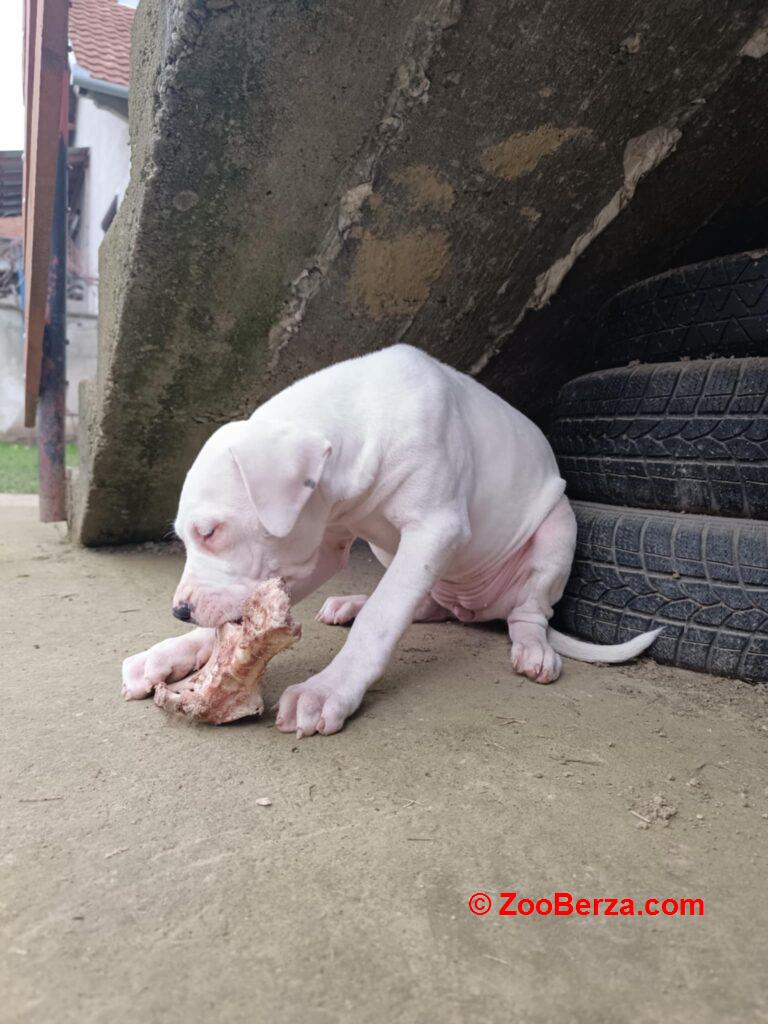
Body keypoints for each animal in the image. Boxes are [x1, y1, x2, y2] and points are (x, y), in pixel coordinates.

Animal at [123, 344, 659, 737]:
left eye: (210, 531)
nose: (180, 610)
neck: (364, 414)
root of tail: (478, 609)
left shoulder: (434, 529)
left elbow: (382, 619)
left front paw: (328, 690)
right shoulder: (324, 545)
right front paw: (167, 654)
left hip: (556, 530)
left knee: (529, 611)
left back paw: (533, 648)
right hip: (397, 555)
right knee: (428, 604)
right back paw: (354, 602)